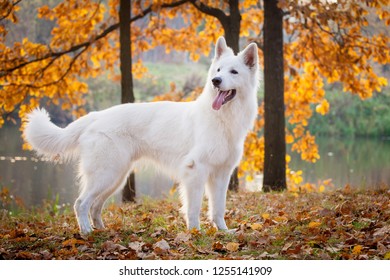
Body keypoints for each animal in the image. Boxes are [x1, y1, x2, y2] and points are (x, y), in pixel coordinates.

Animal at [24, 36, 258, 234]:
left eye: (233, 72)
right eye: (218, 70)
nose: (215, 81)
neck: (222, 118)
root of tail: (96, 115)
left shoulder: (221, 175)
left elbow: (219, 208)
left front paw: (223, 232)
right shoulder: (195, 171)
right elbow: (193, 208)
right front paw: (195, 232)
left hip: (116, 177)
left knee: (95, 206)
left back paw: (101, 230)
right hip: (106, 174)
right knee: (81, 203)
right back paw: (87, 232)